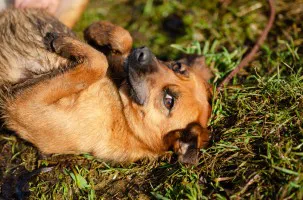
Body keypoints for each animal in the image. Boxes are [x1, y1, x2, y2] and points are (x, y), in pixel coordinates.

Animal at [0, 8, 214, 164]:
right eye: (178, 67)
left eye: (169, 101)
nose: (142, 52)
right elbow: (120, 40)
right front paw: (99, 31)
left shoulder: (25, 105)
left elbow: (98, 63)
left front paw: (63, 41)